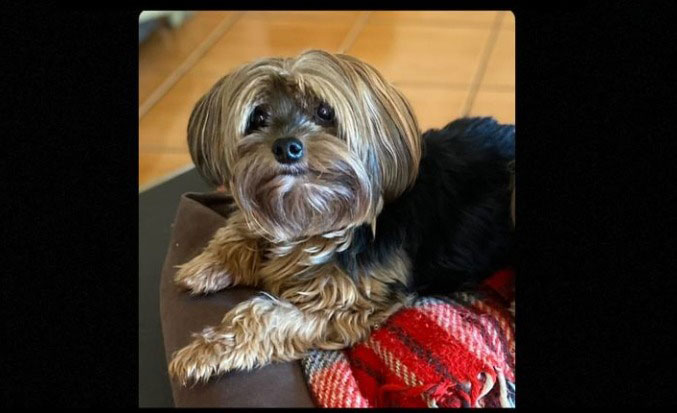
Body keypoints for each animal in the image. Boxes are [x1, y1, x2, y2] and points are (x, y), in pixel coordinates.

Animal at [168, 49, 515, 385]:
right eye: (259, 117)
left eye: (324, 112)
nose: (286, 147)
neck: (315, 212)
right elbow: (241, 229)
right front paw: (204, 267)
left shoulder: (349, 307)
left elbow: (265, 317)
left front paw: (203, 352)